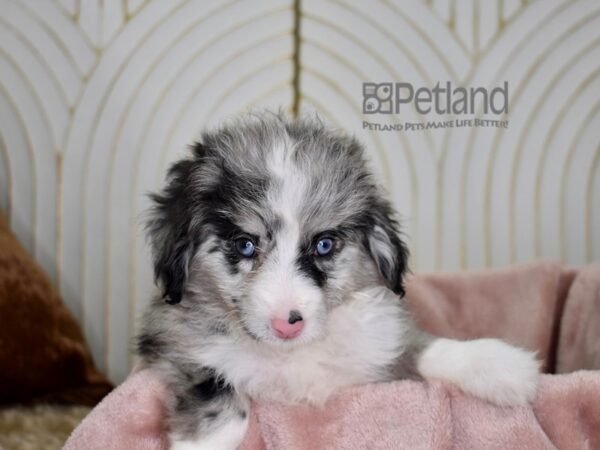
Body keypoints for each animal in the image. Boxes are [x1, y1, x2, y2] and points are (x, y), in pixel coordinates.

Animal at [137, 110, 540, 448]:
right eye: (245, 245)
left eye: (324, 244)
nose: (287, 324)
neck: (292, 356)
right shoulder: (173, 345)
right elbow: (217, 389)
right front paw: (207, 440)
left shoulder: (379, 351)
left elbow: (422, 346)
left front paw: (499, 365)